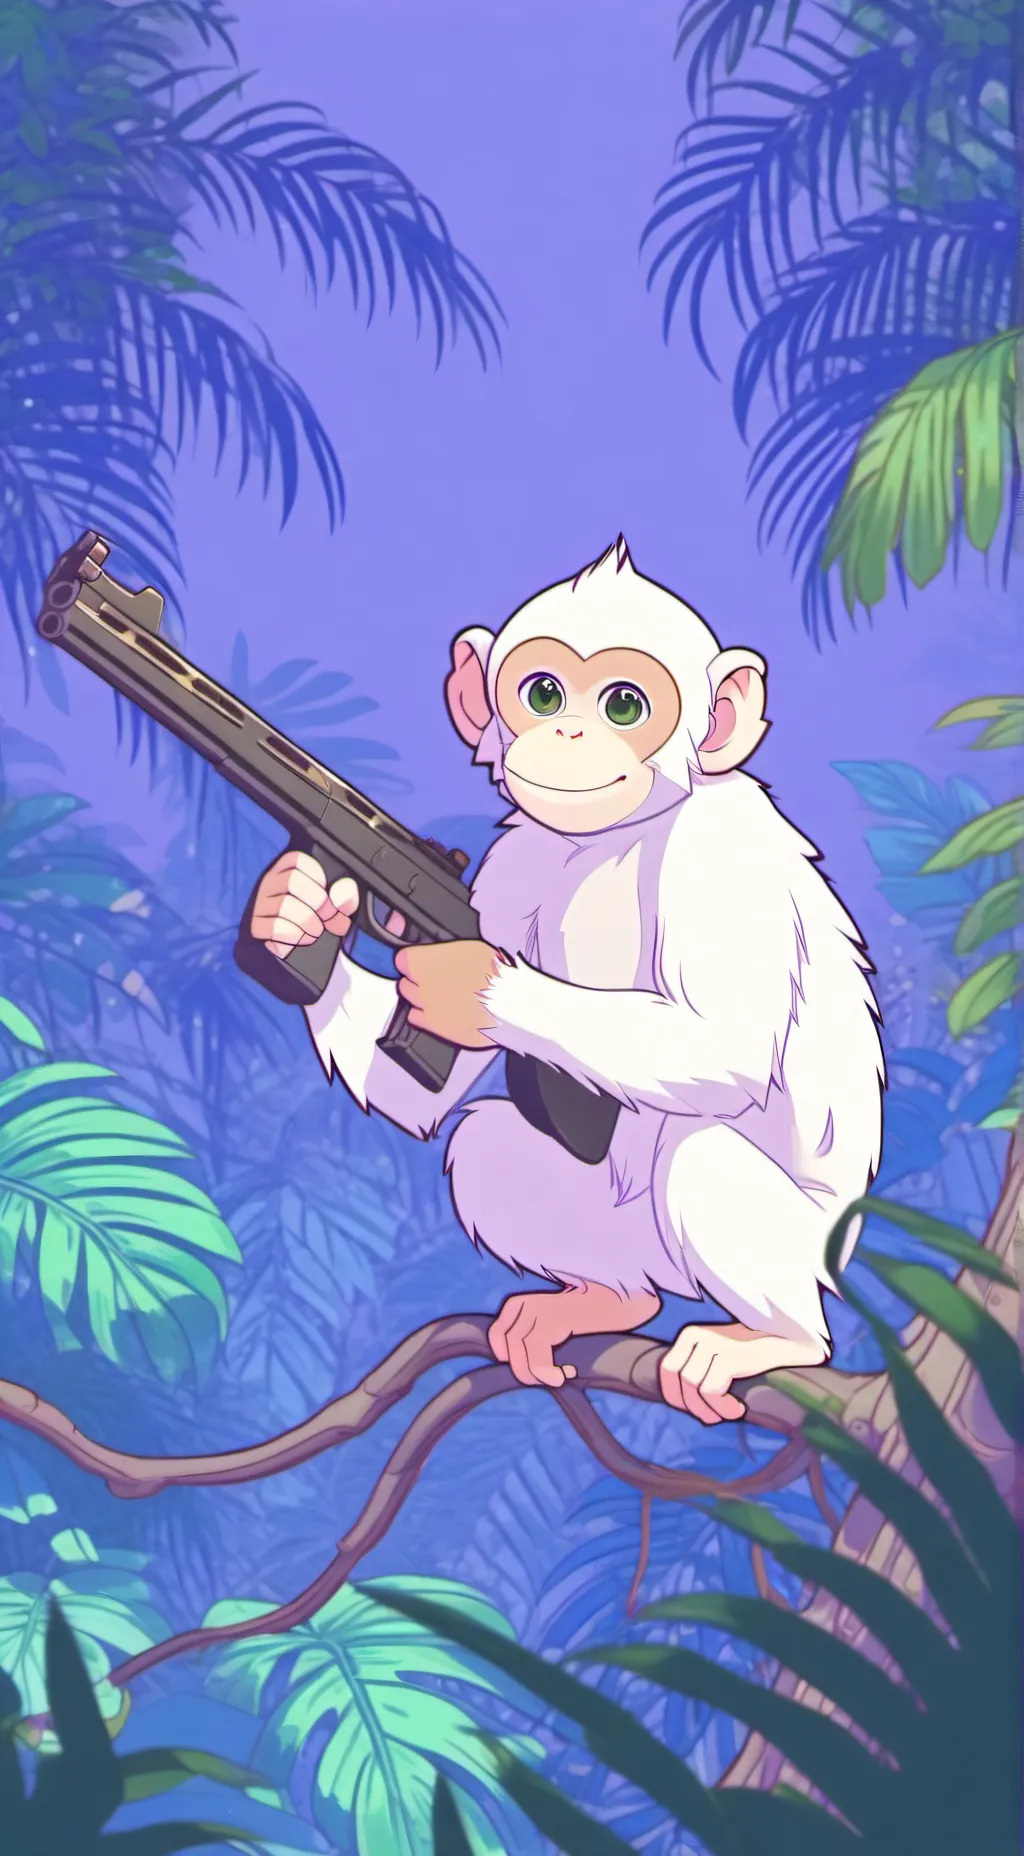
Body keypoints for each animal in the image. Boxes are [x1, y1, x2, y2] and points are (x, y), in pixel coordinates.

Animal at [248, 537, 885, 1423]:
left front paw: (473, 990)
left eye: (624, 705)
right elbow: (425, 1101)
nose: (569, 732)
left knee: (704, 1155)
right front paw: (288, 918)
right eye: (541, 693)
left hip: (795, 1251)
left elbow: (721, 1042)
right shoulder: (507, 869)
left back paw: (763, 1342)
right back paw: (600, 1302)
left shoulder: (723, 851)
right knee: (485, 1138)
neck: (611, 836)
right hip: (609, 1234)